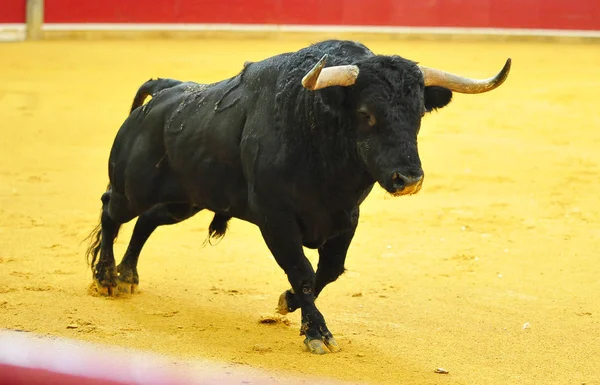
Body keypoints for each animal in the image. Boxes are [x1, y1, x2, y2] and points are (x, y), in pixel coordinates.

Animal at [86, 39, 510, 354]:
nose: (408, 179)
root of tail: (165, 91)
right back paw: (106, 278)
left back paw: (127, 276)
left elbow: (329, 271)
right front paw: (317, 332)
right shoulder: (276, 220)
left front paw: (287, 302)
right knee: (112, 211)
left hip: (185, 202)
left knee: (146, 221)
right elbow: (303, 272)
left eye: (419, 113)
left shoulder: (345, 219)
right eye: (366, 113)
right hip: (134, 187)